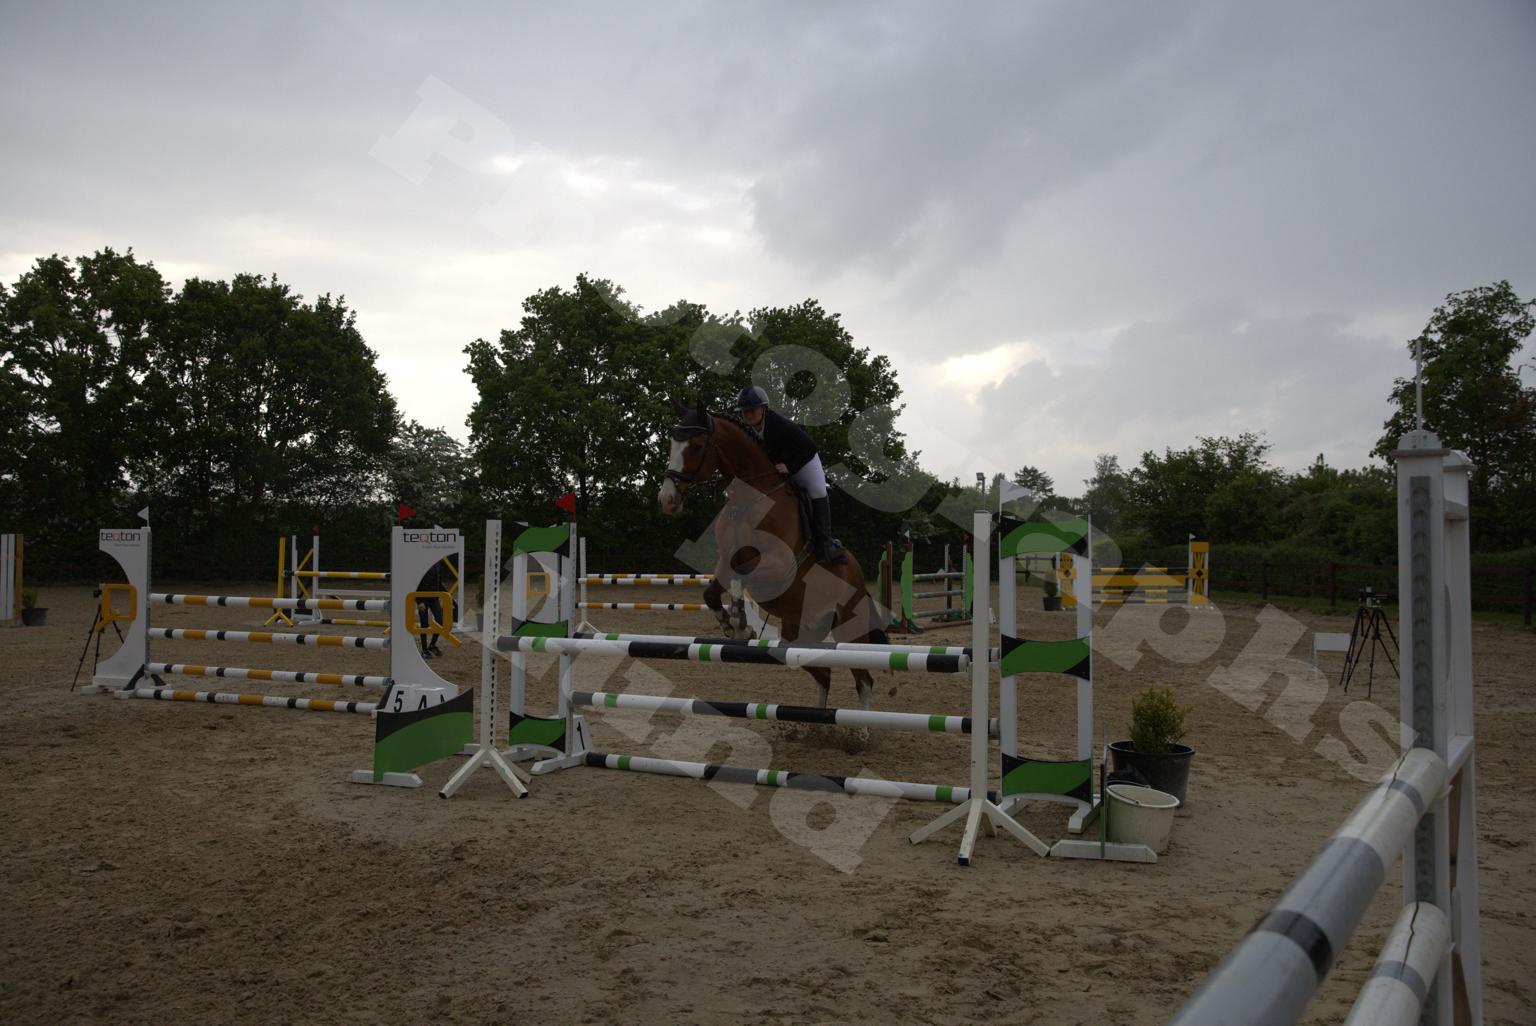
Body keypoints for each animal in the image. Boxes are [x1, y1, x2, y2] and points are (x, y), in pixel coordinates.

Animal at [657, 400, 890, 709]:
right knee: (823, 672)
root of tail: (858, 574)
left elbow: (742, 578)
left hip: (850, 628)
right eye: (671, 443)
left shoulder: (779, 565)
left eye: (695, 446)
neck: (750, 499)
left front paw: (741, 624)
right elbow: (712, 592)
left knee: (863, 680)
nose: (667, 500)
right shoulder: (726, 562)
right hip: (799, 632)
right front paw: (730, 625)